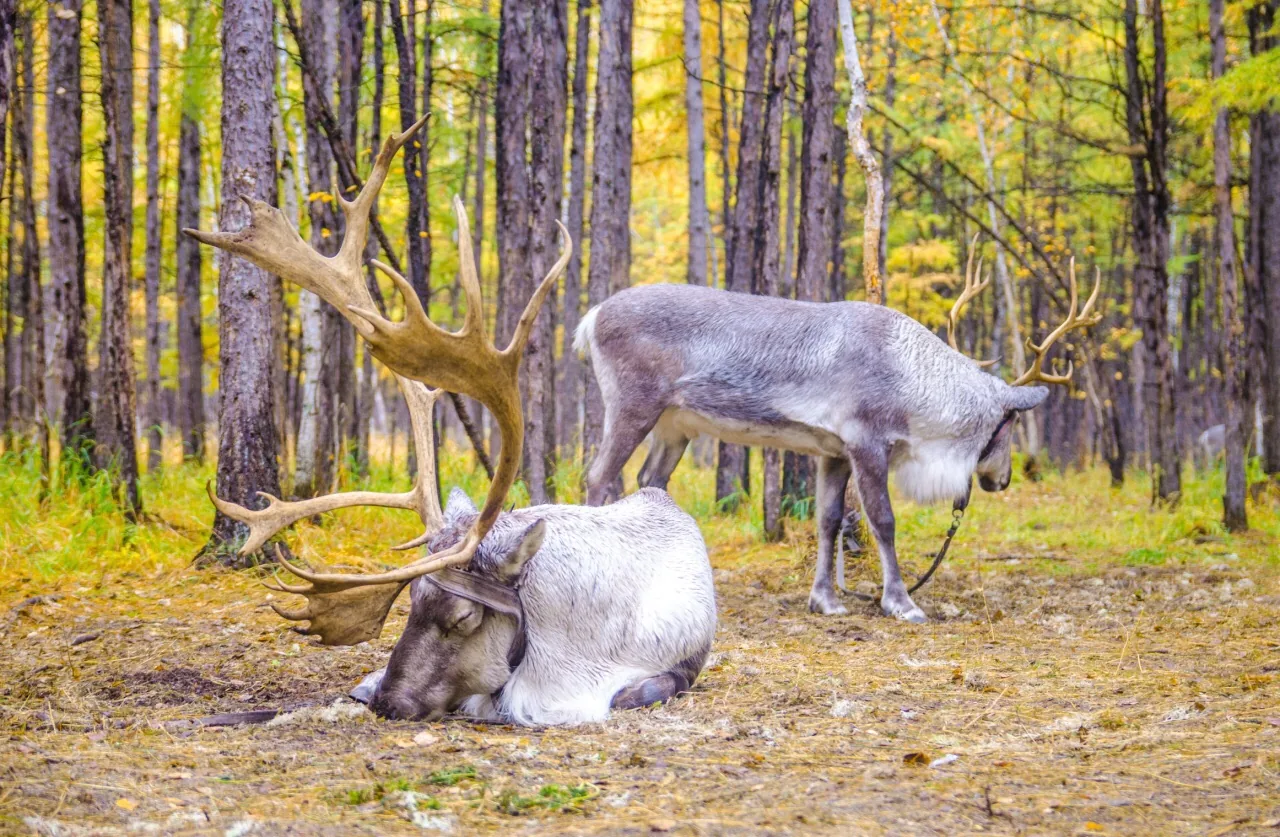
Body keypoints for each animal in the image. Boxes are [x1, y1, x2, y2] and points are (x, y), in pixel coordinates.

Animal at [185, 117, 717, 726]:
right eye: (408, 604)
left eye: (462, 617)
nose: (388, 702)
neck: (580, 654)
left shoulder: (678, 662)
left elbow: (649, 687)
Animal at [575, 246, 1101, 624]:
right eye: (1010, 424)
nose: (1002, 480)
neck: (917, 382)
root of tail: (591, 316)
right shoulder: (868, 442)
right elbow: (883, 520)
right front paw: (901, 602)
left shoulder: (833, 452)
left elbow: (828, 520)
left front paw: (824, 600)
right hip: (633, 406)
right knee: (598, 478)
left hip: (675, 426)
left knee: (650, 481)